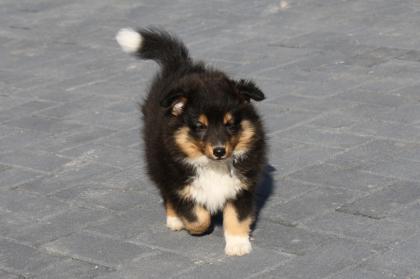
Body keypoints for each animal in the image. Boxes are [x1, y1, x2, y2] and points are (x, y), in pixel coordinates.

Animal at [115, 26, 266, 256]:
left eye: (230, 124)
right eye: (200, 126)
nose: (220, 151)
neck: (213, 165)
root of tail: (180, 66)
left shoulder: (242, 185)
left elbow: (236, 216)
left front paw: (238, 245)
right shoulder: (180, 182)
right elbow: (196, 216)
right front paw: (196, 226)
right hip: (158, 162)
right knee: (166, 193)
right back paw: (174, 220)